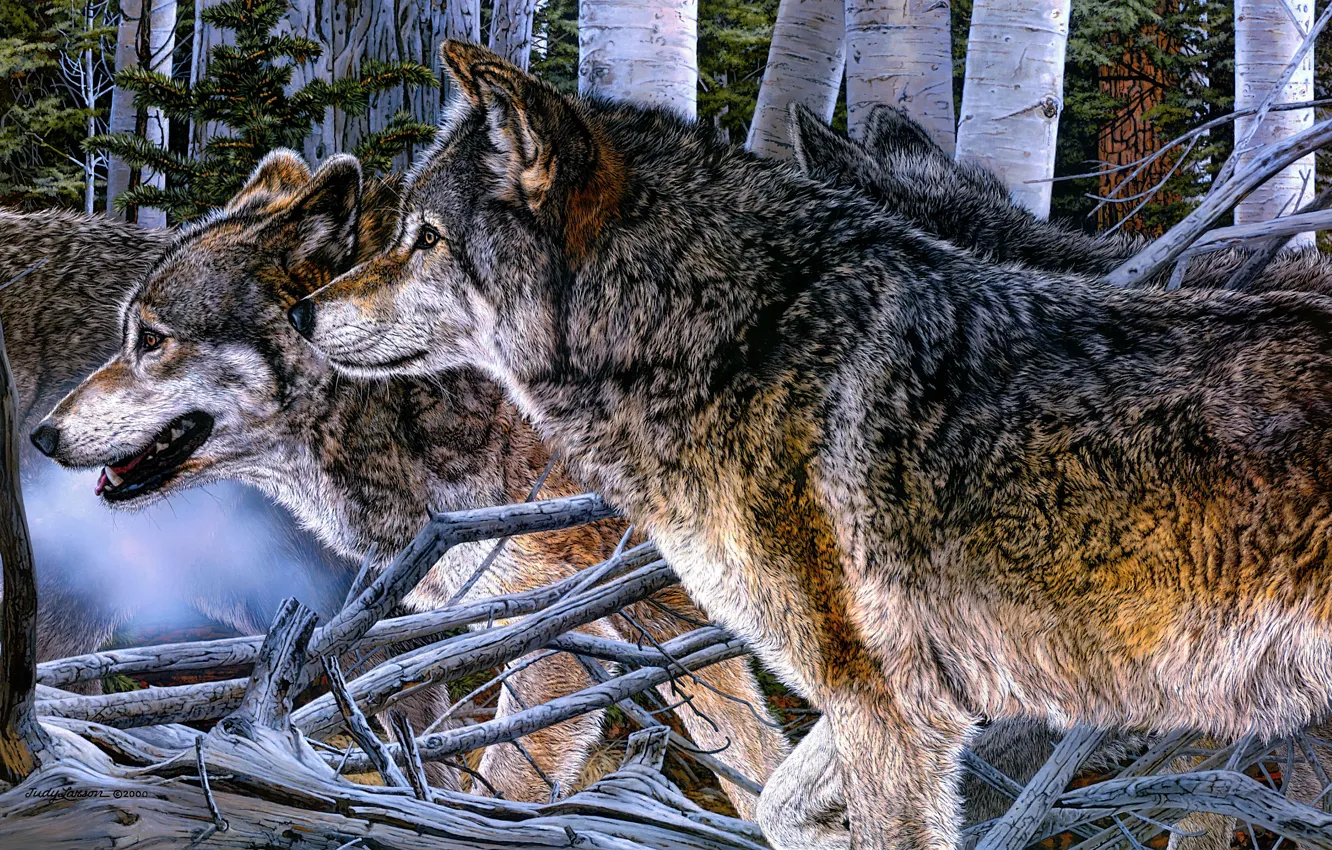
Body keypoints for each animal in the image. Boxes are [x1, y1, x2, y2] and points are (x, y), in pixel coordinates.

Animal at [32, 150, 791, 812]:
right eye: (125, 335)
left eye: (152, 340)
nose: (43, 435)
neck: (410, 395)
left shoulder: (562, 629)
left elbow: (507, 778)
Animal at [294, 40, 1332, 849]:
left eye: (427, 239)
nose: (302, 312)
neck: (738, 342)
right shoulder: (915, 704)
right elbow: (779, 798)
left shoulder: (889, 708)